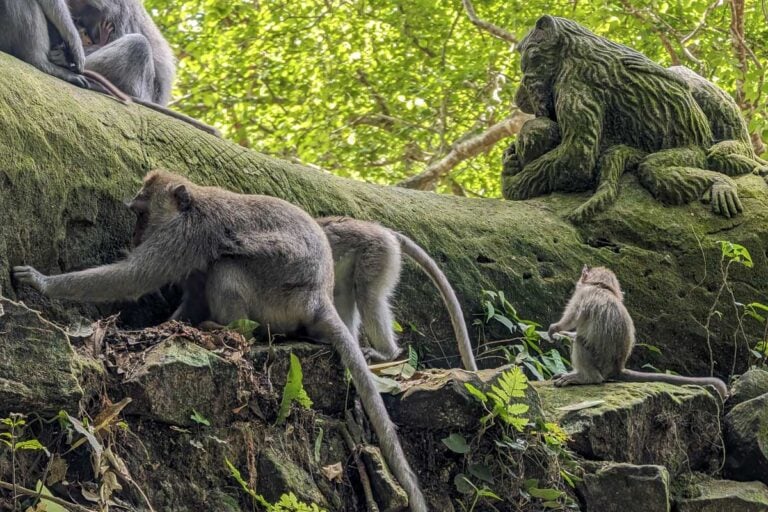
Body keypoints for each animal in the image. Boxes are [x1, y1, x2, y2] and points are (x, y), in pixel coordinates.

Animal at [12, 170, 427, 512]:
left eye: (141, 213)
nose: (133, 235)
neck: (191, 204)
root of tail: (318, 298)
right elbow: (192, 289)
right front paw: (164, 325)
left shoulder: (187, 236)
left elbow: (135, 277)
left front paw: (42, 283)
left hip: (278, 301)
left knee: (228, 266)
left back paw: (225, 328)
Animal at [548, 266, 728, 399]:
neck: (603, 287)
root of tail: (617, 368)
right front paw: (564, 335)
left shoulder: (584, 295)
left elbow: (572, 318)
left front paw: (556, 328)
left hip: (599, 364)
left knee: (581, 343)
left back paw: (586, 377)